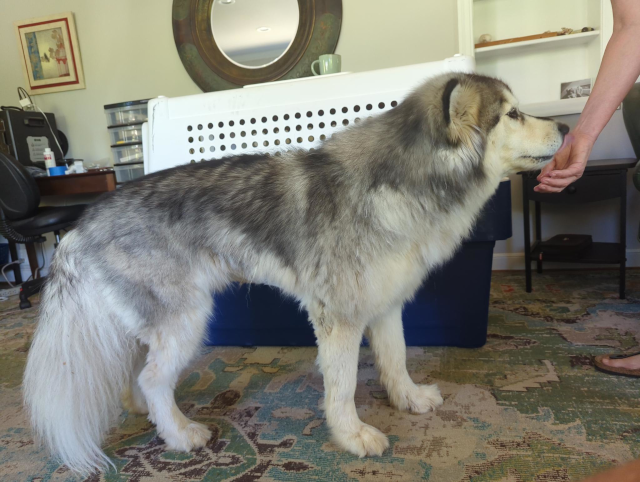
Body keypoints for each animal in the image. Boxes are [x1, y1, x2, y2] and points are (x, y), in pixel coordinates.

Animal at [21, 72, 568, 474]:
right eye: (513, 114)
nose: (565, 130)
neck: (402, 182)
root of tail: (81, 225)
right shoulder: (339, 320)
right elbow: (342, 387)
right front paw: (351, 435)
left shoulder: (384, 307)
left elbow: (396, 360)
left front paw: (408, 398)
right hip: (186, 321)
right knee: (154, 378)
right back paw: (178, 432)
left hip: (155, 326)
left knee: (139, 373)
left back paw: (151, 416)